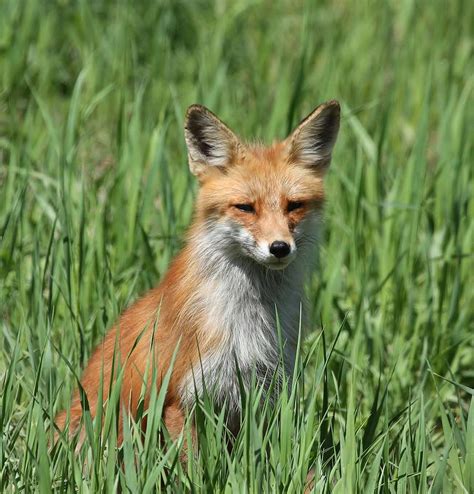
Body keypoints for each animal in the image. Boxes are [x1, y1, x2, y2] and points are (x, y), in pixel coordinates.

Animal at [54, 98, 340, 450]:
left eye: (294, 206)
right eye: (245, 208)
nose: (279, 248)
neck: (249, 322)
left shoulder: (263, 392)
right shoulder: (182, 398)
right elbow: (192, 464)